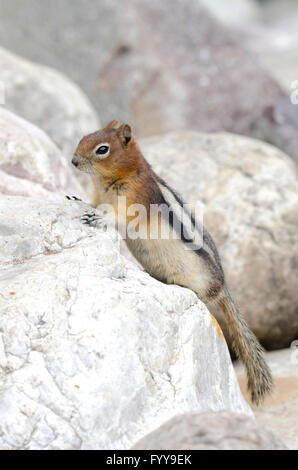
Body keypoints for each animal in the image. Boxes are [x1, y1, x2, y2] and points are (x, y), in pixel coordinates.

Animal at [70, 119, 272, 406]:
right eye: (85, 137)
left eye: (102, 149)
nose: (74, 161)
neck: (114, 178)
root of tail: (223, 287)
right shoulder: (100, 196)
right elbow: (93, 202)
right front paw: (77, 200)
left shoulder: (135, 199)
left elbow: (119, 217)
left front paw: (100, 218)